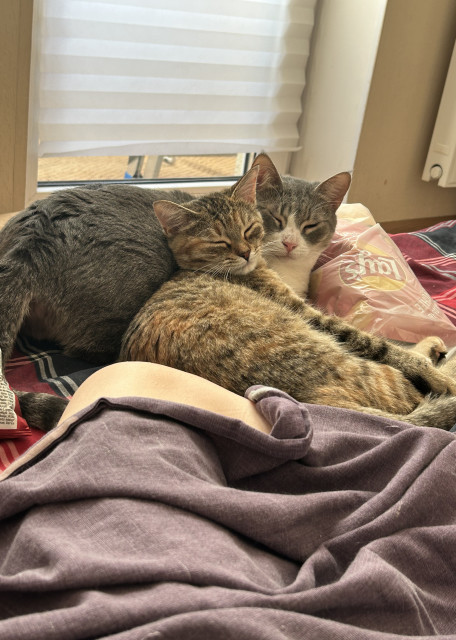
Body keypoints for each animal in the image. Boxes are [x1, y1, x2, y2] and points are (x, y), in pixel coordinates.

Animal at [119, 164, 456, 430]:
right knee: (415, 392)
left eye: (250, 229)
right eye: (219, 242)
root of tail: (310, 404)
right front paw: (424, 360)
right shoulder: (311, 314)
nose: (246, 252)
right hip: (355, 365)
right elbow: (381, 344)